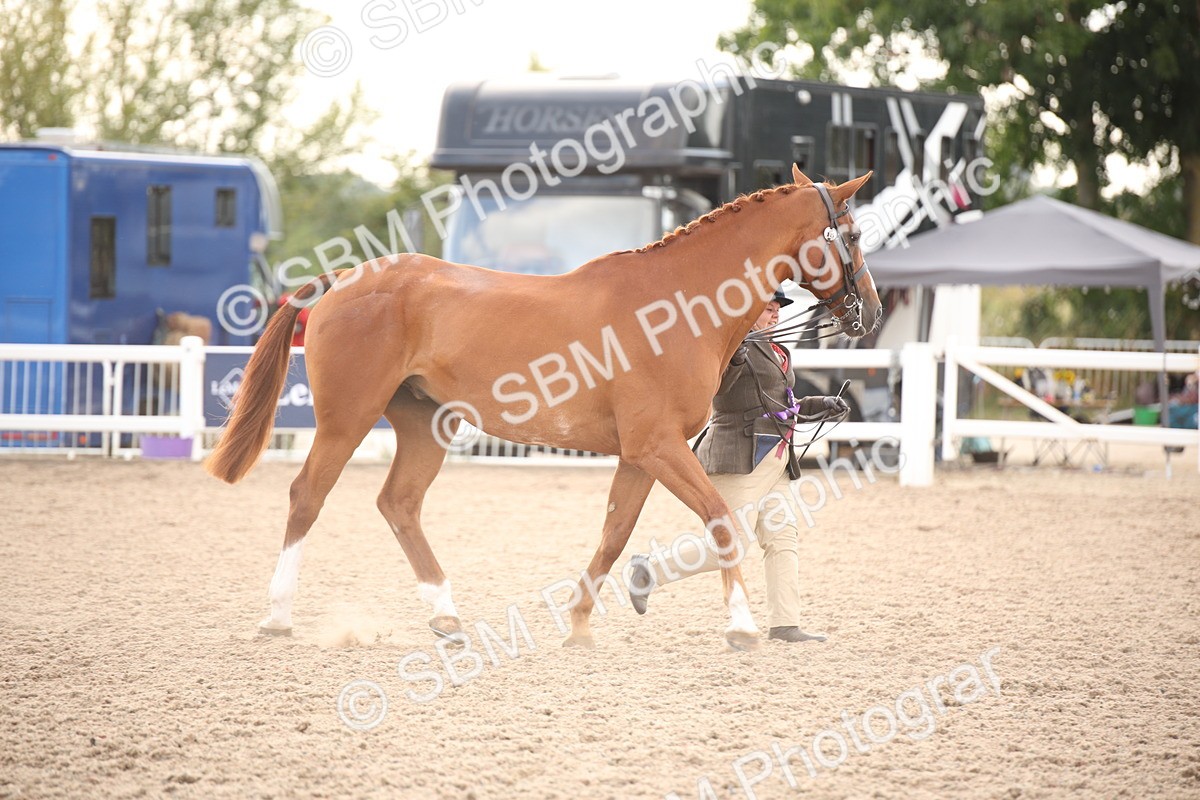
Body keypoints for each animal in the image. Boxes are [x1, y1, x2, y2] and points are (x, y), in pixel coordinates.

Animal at [205, 165, 883, 651]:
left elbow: (614, 534)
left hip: (426, 425)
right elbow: (719, 520)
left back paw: (448, 618)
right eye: (850, 235)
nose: (869, 313)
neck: (677, 306)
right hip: (345, 421)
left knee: (399, 504)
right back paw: (277, 617)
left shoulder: (640, 455)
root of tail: (342, 280)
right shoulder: (657, 447)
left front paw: (579, 624)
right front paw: (740, 626)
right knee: (307, 497)